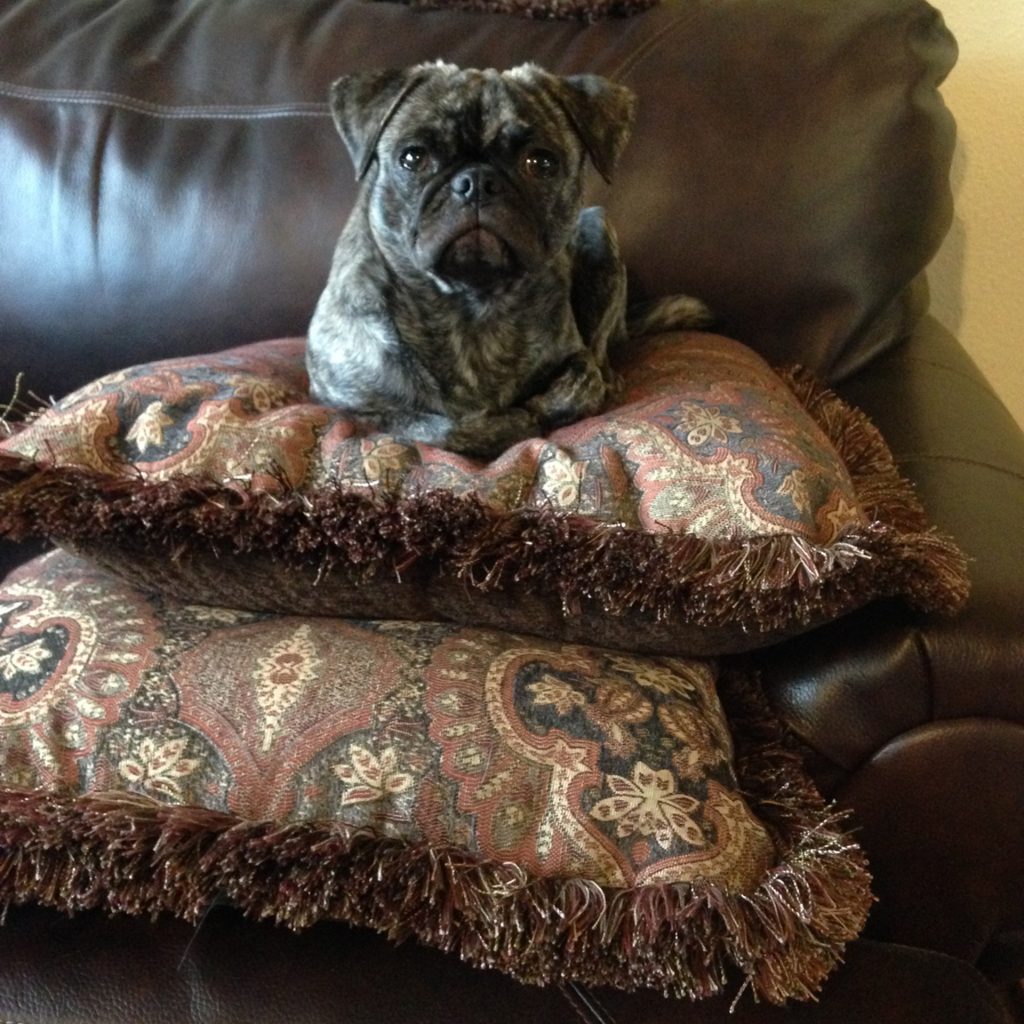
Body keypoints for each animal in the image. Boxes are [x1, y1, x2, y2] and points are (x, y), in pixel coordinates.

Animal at [307, 62, 708, 460]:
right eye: (413, 157)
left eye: (541, 162)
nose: (476, 181)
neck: (471, 305)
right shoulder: (359, 408)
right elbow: (438, 426)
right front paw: (506, 423)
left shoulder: (575, 360)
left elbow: (575, 386)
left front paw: (541, 408)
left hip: (598, 230)